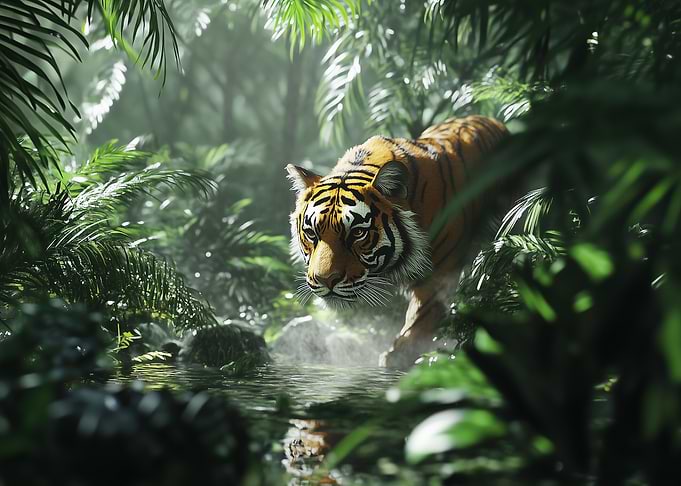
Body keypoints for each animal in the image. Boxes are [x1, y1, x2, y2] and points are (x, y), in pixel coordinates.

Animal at [286, 115, 508, 368]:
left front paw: (399, 356)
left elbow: (422, 315)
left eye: (357, 233)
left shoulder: (439, 273)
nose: (325, 280)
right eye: (312, 233)